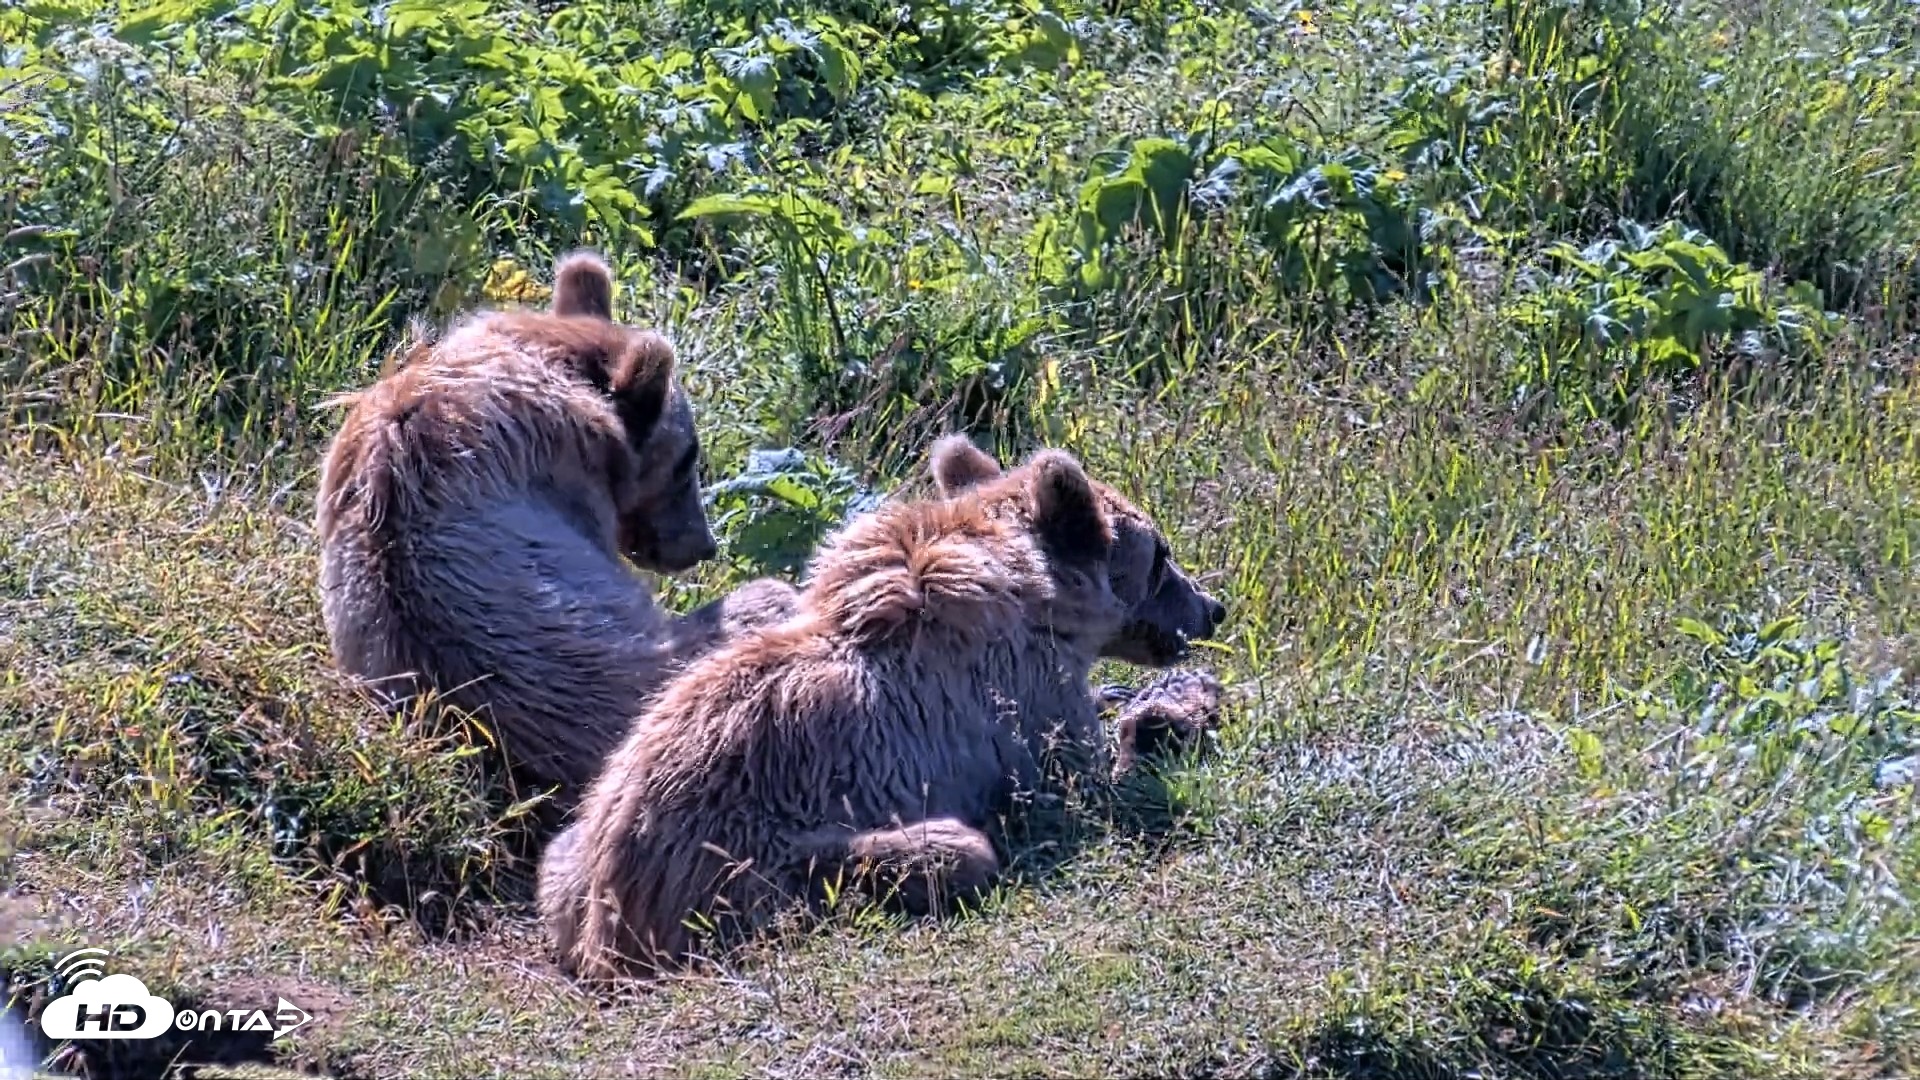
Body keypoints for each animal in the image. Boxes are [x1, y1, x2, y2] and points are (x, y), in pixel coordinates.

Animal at [537, 435, 1227, 980]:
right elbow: (1084, 781)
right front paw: (1175, 713)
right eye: (1161, 554)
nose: (1212, 608)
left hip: (579, 841)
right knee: (949, 851)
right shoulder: (1021, 706)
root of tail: (608, 927)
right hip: (750, 867)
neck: (1033, 596)